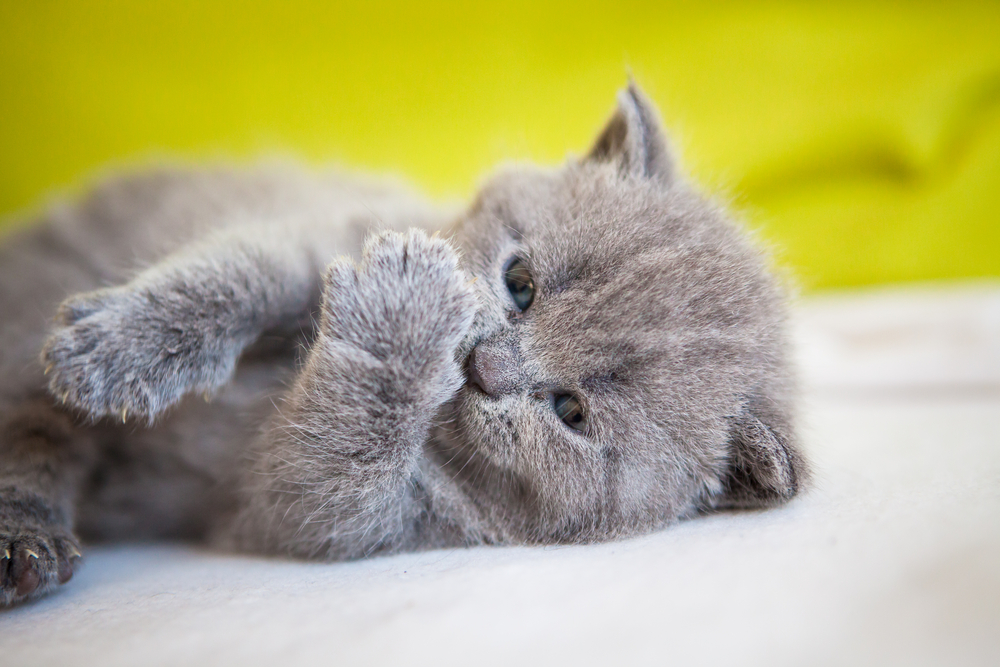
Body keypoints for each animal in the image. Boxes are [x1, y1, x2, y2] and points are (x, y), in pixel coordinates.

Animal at [0, 83, 804, 604]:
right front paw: (116, 351)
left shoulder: (339, 520)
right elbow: (244, 269)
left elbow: (325, 467)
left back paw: (25, 548)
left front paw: (399, 321)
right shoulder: (329, 227)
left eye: (571, 412)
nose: (482, 365)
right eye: (520, 283)